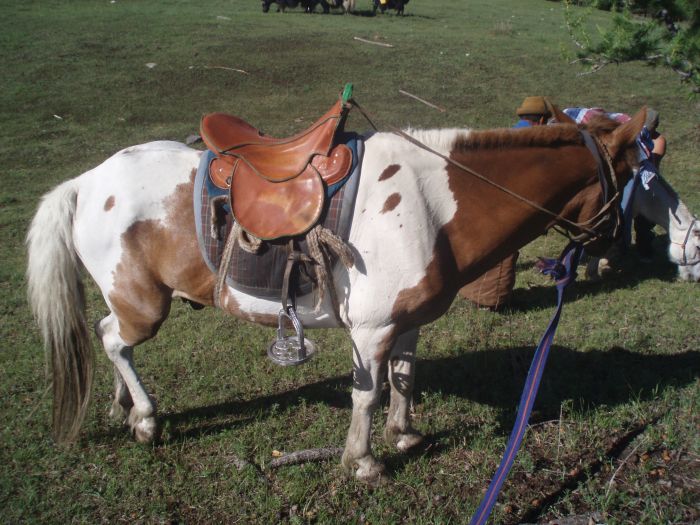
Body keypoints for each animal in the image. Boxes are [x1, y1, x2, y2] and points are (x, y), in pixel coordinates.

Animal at [27, 106, 644, 484]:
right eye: (635, 172)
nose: (618, 250)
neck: (432, 203)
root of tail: (86, 183)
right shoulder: (371, 330)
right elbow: (364, 396)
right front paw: (363, 461)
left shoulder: (407, 322)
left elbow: (404, 378)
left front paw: (404, 434)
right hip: (143, 304)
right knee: (114, 340)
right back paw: (146, 418)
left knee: (112, 340)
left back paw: (123, 405)